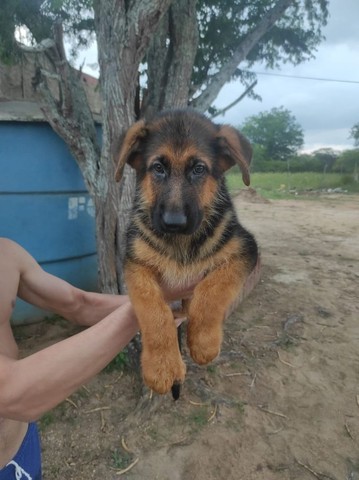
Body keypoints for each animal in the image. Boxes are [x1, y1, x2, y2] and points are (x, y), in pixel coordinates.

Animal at [115, 110, 258, 396]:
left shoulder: (245, 249)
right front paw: (160, 366)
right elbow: (152, 308)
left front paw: (204, 342)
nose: (174, 223)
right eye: (158, 168)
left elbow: (212, 289)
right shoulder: (135, 263)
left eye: (198, 169)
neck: (180, 242)